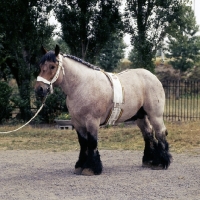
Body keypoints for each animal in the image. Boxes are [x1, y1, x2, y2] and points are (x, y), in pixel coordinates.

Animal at [34, 45, 172, 175]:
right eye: (40, 65)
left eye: (52, 66)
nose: (39, 89)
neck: (82, 85)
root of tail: (153, 77)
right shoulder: (77, 122)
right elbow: (83, 143)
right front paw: (80, 166)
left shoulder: (92, 121)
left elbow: (92, 142)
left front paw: (91, 168)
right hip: (140, 116)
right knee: (148, 133)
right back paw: (150, 161)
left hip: (155, 115)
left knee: (160, 133)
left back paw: (162, 163)